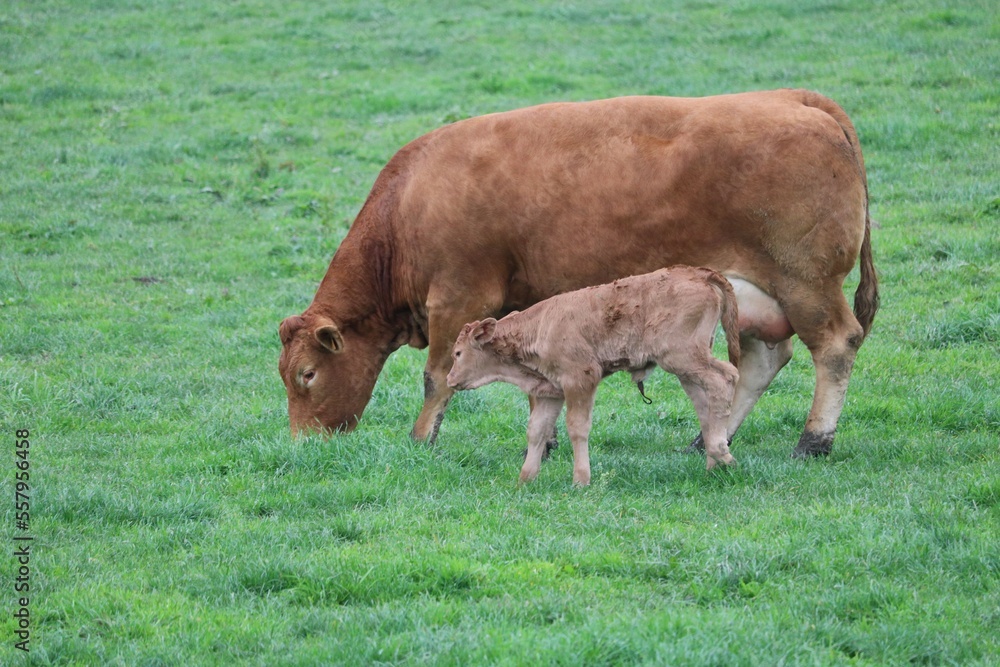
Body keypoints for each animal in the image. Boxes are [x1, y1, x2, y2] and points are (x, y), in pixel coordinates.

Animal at [278, 89, 879, 459]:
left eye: (307, 374)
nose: (303, 443)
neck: (412, 201)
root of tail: (792, 99)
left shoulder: (457, 296)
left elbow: (437, 376)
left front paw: (422, 437)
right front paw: (542, 443)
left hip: (805, 283)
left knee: (835, 345)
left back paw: (814, 440)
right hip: (751, 297)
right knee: (761, 361)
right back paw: (710, 437)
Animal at [445, 266, 741, 485]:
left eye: (458, 353)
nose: (450, 379)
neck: (540, 327)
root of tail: (698, 273)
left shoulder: (580, 379)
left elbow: (577, 428)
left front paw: (581, 480)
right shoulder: (550, 391)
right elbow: (536, 431)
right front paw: (525, 479)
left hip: (683, 357)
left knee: (726, 377)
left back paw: (722, 454)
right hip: (687, 368)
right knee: (704, 403)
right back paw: (712, 465)